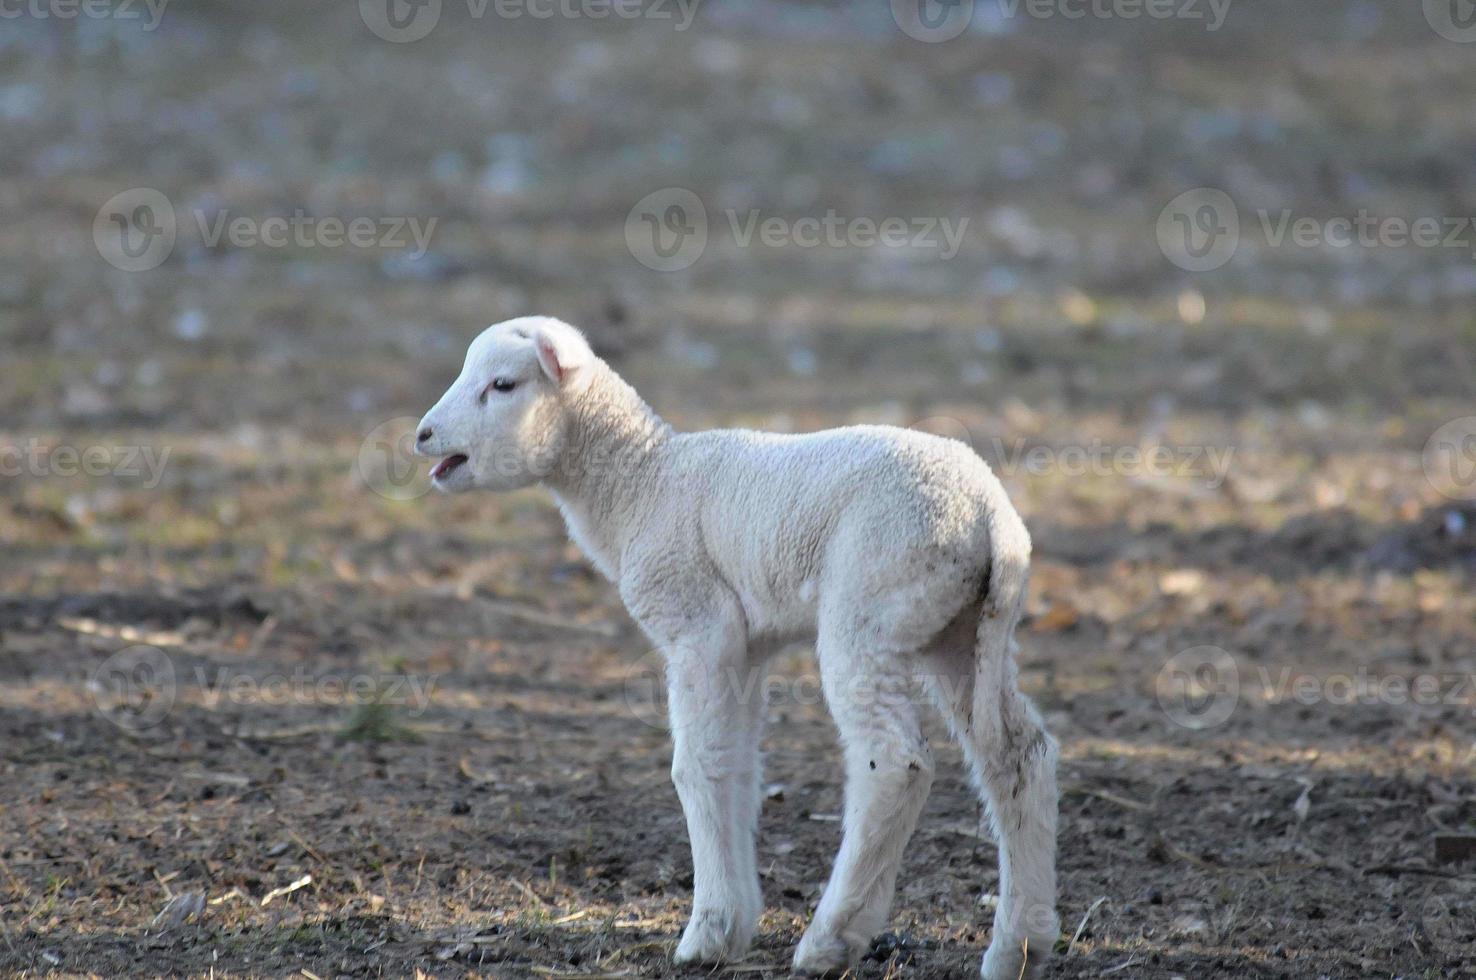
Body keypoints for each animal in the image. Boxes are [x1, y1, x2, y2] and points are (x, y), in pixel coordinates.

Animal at [416, 317, 1062, 974]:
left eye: (502, 384)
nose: (423, 435)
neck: (640, 484)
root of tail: (991, 517)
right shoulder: (747, 649)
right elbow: (737, 766)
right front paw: (734, 922)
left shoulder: (697, 624)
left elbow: (695, 766)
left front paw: (707, 933)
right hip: (962, 631)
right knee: (1020, 755)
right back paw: (1018, 947)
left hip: (869, 608)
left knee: (894, 762)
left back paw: (831, 939)